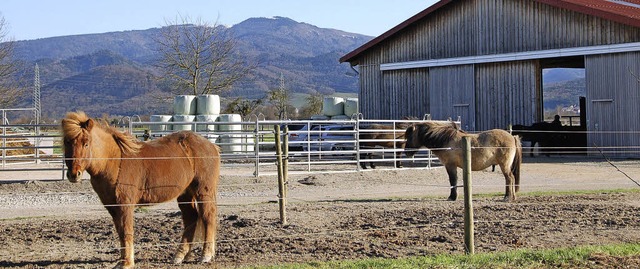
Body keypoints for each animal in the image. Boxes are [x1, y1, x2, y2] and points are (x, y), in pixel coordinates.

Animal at [62, 110, 221, 266]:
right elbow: (120, 232)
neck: (114, 161)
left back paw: (206, 255)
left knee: (208, 217)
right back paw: (179, 256)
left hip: (203, 191)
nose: (73, 174)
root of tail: (211, 146)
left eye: (86, 143)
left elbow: (126, 231)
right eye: (67, 142)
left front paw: (127, 263)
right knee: (191, 218)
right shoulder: (112, 206)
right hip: (185, 194)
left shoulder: (125, 204)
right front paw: (122, 261)